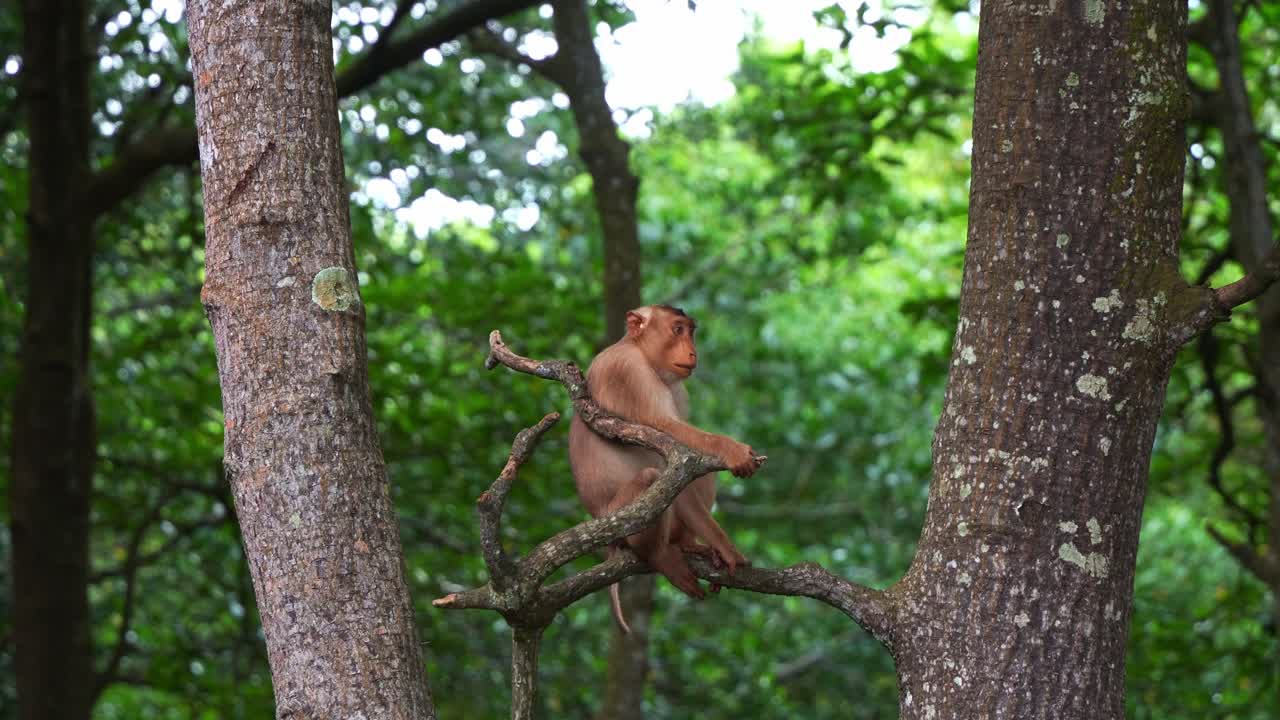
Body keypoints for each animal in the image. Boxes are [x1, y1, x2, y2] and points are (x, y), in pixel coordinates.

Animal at [568, 304, 762, 633]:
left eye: (691, 331)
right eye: (677, 329)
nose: (693, 352)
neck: (637, 349)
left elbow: (681, 463)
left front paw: (723, 549)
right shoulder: (629, 372)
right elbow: (669, 431)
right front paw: (732, 450)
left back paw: (686, 544)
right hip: (617, 519)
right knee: (650, 477)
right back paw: (660, 556)